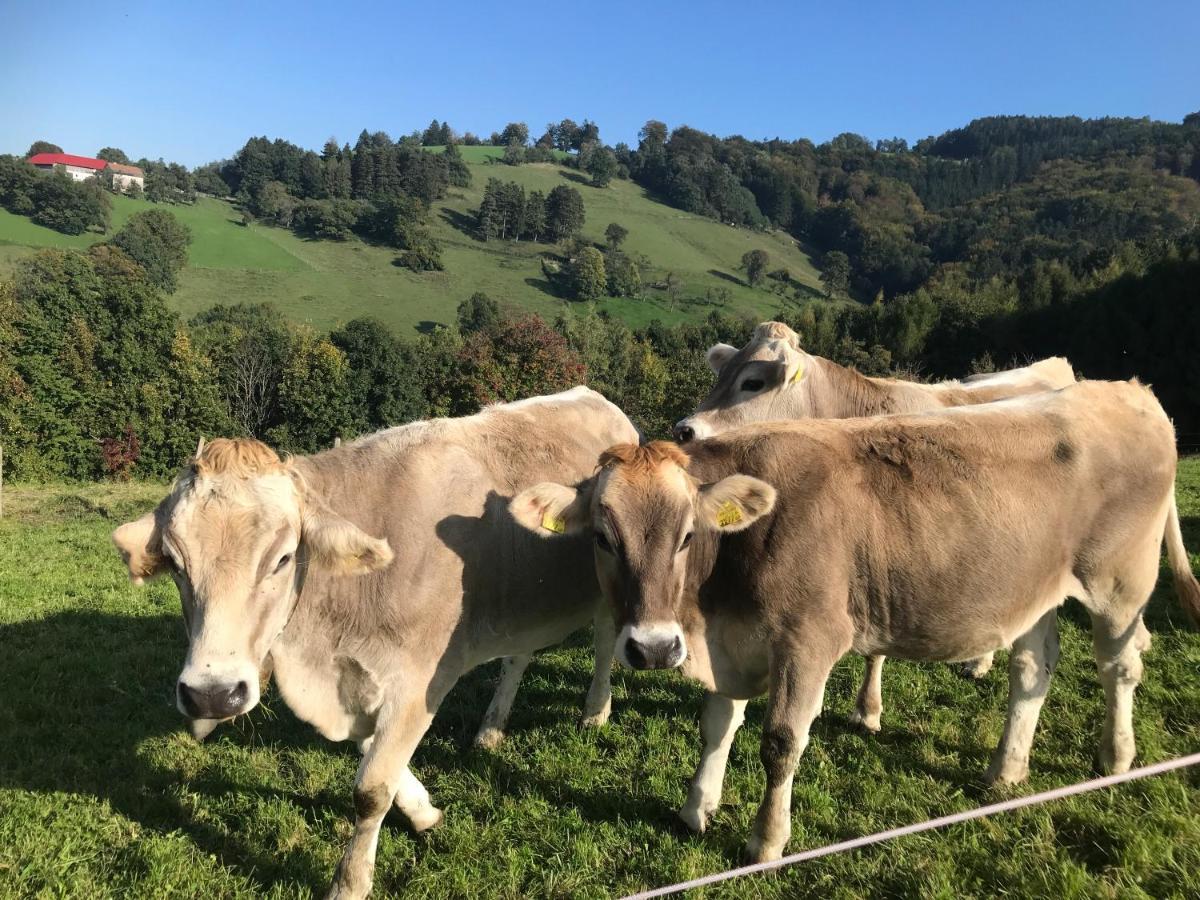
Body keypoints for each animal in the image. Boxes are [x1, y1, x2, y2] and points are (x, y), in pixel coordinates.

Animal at [108, 388, 643, 900]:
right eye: (176, 565)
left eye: (282, 559)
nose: (213, 695)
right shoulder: (356, 684)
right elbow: (374, 755)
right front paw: (424, 810)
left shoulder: (420, 682)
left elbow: (371, 788)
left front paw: (350, 884)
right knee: (518, 654)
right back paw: (492, 728)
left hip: (607, 587)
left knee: (602, 645)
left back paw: (595, 711)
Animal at [513, 379, 1200, 859]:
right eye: (602, 538)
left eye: (686, 536)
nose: (653, 648)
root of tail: (1128, 391)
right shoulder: (731, 643)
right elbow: (718, 725)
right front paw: (697, 806)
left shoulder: (809, 638)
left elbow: (780, 741)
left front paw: (767, 840)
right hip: (1034, 589)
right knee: (1032, 671)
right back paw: (1006, 770)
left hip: (1121, 582)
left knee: (1120, 665)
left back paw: (1116, 755)